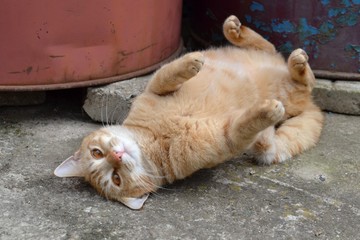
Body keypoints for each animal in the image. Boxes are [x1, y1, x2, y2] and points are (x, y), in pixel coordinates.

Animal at [53, 15, 324, 210]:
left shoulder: (154, 87)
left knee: (271, 49)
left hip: (261, 59)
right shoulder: (228, 138)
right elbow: (244, 126)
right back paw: (293, 73)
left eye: (97, 153)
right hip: (281, 119)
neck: (156, 136)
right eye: (115, 179)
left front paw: (191, 61)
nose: (116, 156)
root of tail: (310, 104)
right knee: (302, 86)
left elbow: (167, 74)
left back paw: (236, 31)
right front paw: (265, 112)